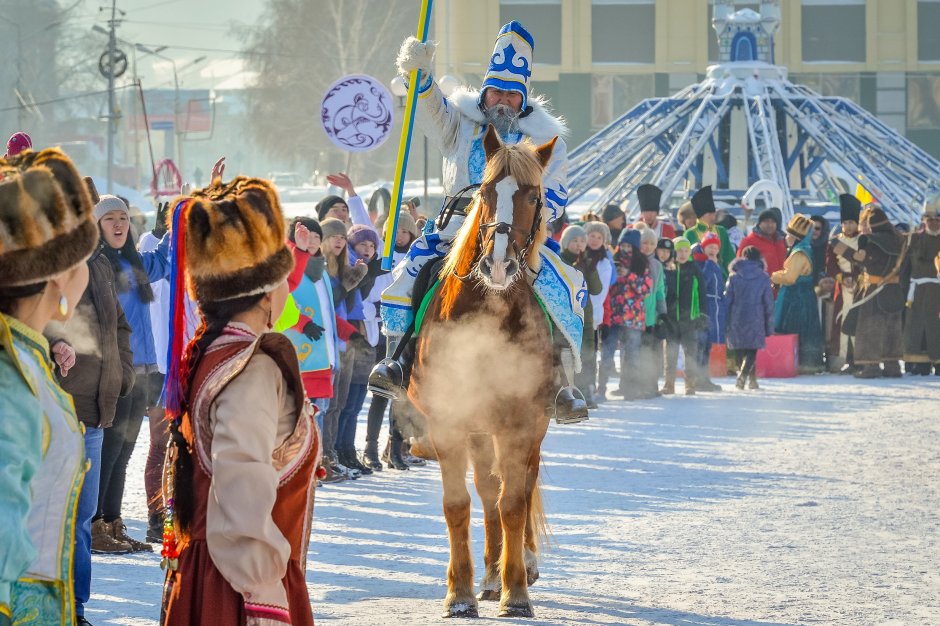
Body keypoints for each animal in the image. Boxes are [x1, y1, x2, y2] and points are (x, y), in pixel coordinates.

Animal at [408, 124, 556, 616]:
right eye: (487, 192)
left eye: (534, 196)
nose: (498, 265)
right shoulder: (450, 420)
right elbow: (459, 503)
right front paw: (460, 594)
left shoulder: (521, 421)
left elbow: (514, 503)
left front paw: (517, 593)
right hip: (478, 427)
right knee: (488, 487)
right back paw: (489, 575)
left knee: (520, 485)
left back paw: (518, 565)